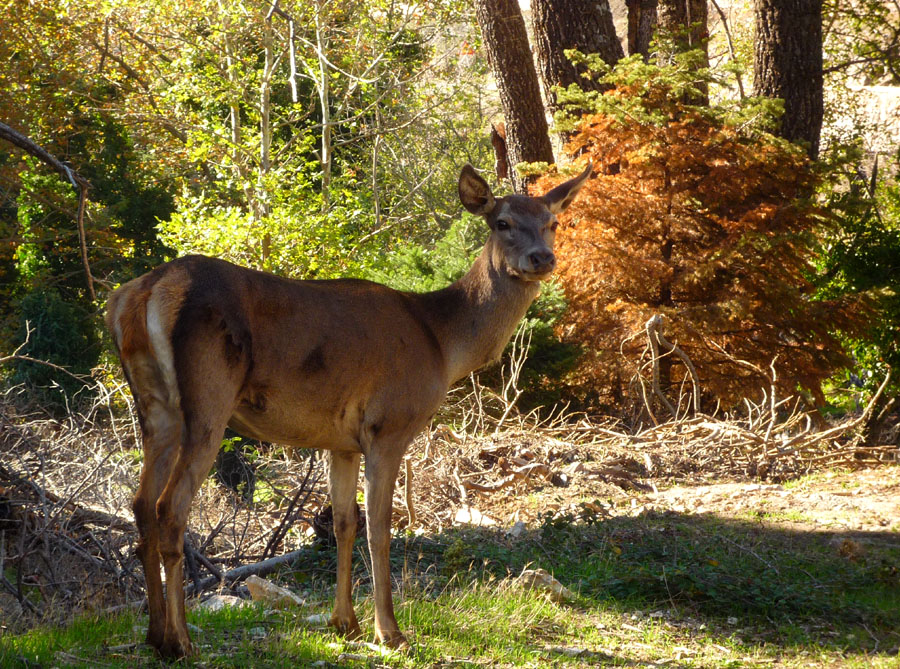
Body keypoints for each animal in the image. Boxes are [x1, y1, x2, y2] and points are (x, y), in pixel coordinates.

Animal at [105, 162, 591, 658]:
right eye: (502, 223)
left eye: (553, 223)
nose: (541, 258)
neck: (442, 343)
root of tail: (140, 294)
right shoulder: (389, 425)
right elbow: (379, 528)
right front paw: (389, 631)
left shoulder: (340, 442)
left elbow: (341, 523)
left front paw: (345, 624)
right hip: (208, 399)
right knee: (170, 507)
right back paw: (181, 641)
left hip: (156, 408)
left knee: (141, 504)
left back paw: (154, 633)